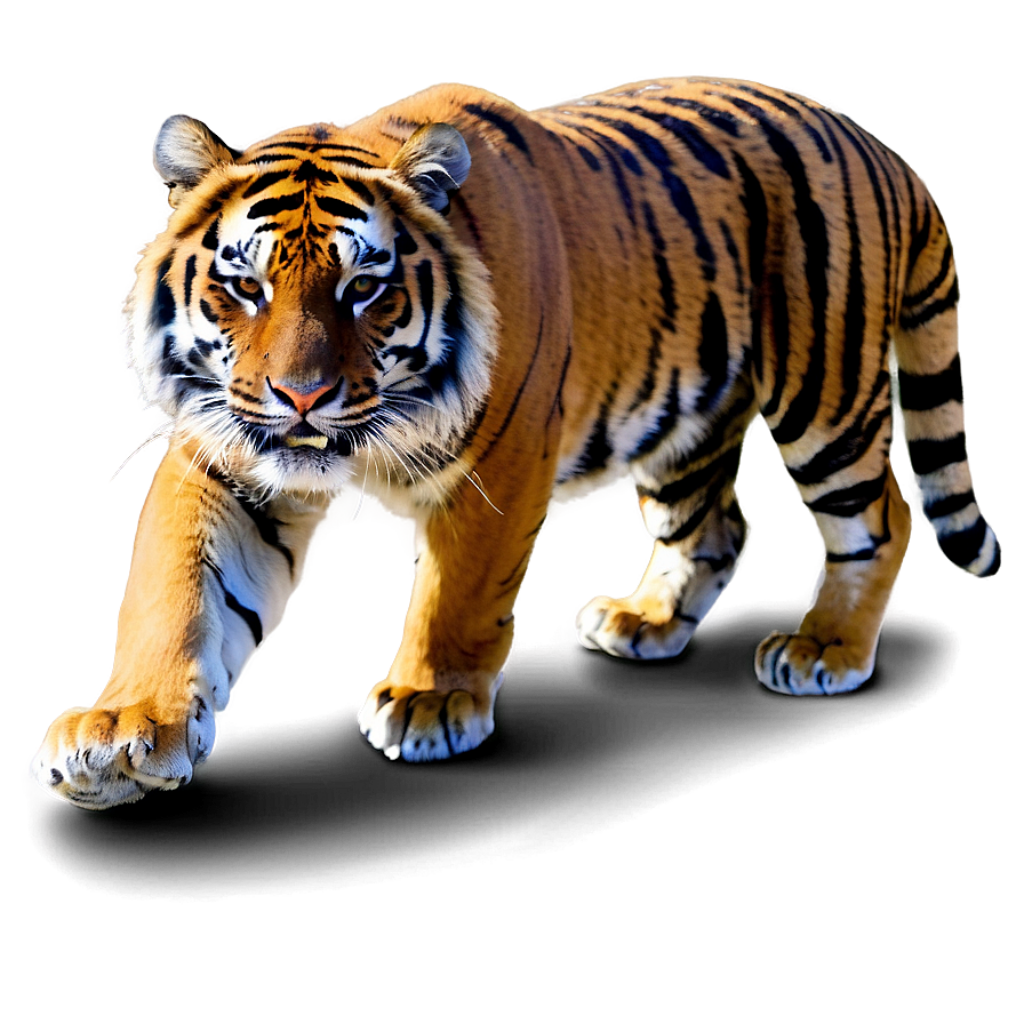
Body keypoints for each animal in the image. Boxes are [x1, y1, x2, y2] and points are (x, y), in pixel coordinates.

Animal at [33, 77, 1000, 809]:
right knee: (718, 525)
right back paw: (645, 621)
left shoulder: (497, 470)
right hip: (683, 420)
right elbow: (176, 594)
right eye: (244, 285)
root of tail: (875, 142)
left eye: (363, 287)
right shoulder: (223, 461)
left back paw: (824, 648)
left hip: (822, 397)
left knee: (881, 514)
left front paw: (429, 701)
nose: (301, 395)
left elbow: (458, 596)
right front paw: (121, 730)